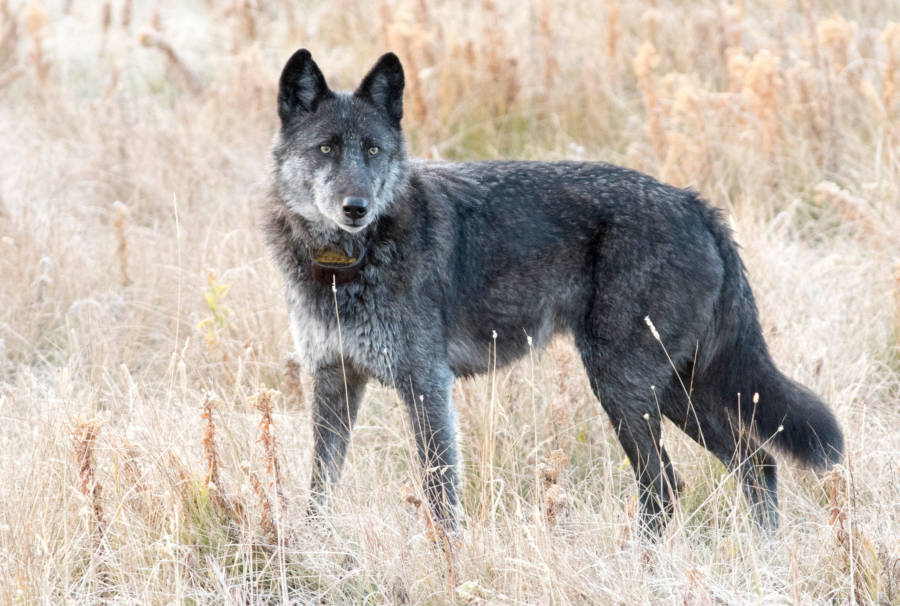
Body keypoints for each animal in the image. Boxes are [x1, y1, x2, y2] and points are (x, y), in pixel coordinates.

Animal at [265, 49, 843, 535]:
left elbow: (439, 492)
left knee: (666, 486)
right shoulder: (334, 381)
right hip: (678, 391)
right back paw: (763, 555)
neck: (345, 266)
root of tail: (696, 204)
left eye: (373, 150)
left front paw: (447, 561)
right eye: (326, 149)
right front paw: (311, 545)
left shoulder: (426, 385)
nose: (356, 207)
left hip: (627, 389)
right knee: (756, 463)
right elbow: (320, 485)